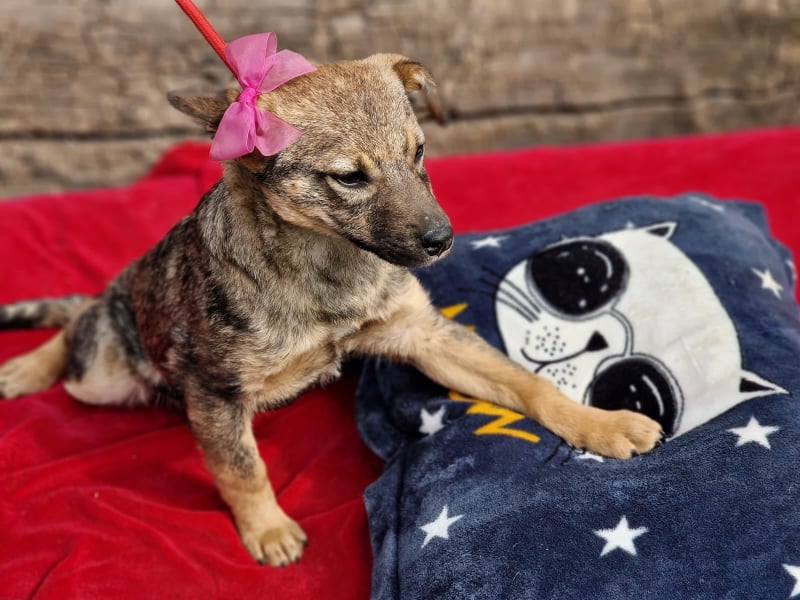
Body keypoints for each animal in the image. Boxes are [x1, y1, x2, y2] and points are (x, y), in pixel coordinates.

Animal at [0, 55, 664, 568]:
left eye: (420, 152)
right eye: (348, 178)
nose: (443, 240)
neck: (327, 263)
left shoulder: (426, 335)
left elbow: (525, 382)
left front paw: (600, 423)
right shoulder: (216, 392)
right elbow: (243, 469)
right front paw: (267, 529)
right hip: (104, 375)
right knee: (78, 323)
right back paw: (24, 368)